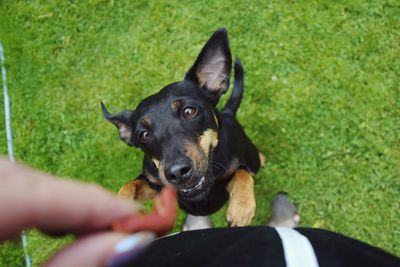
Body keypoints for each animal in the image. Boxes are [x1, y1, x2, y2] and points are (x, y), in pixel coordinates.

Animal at [103, 28, 264, 226]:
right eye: (143, 135)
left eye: (189, 111)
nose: (177, 172)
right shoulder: (155, 184)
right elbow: (128, 185)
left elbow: (242, 173)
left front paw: (241, 207)